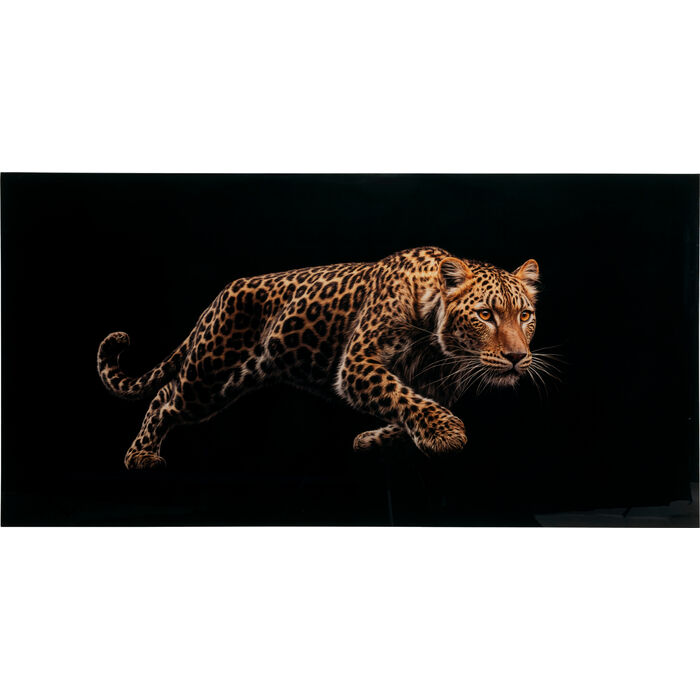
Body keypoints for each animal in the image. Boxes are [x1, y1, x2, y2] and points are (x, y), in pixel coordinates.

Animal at [97, 246, 541, 469]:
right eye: (485, 314)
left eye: (525, 315)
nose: (518, 357)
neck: (436, 346)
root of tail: (220, 295)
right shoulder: (358, 364)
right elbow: (401, 395)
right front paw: (446, 432)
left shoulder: (439, 384)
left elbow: (410, 405)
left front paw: (371, 440)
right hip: (208, 371)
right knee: (164, 398)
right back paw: (139, 455)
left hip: (225, 380)